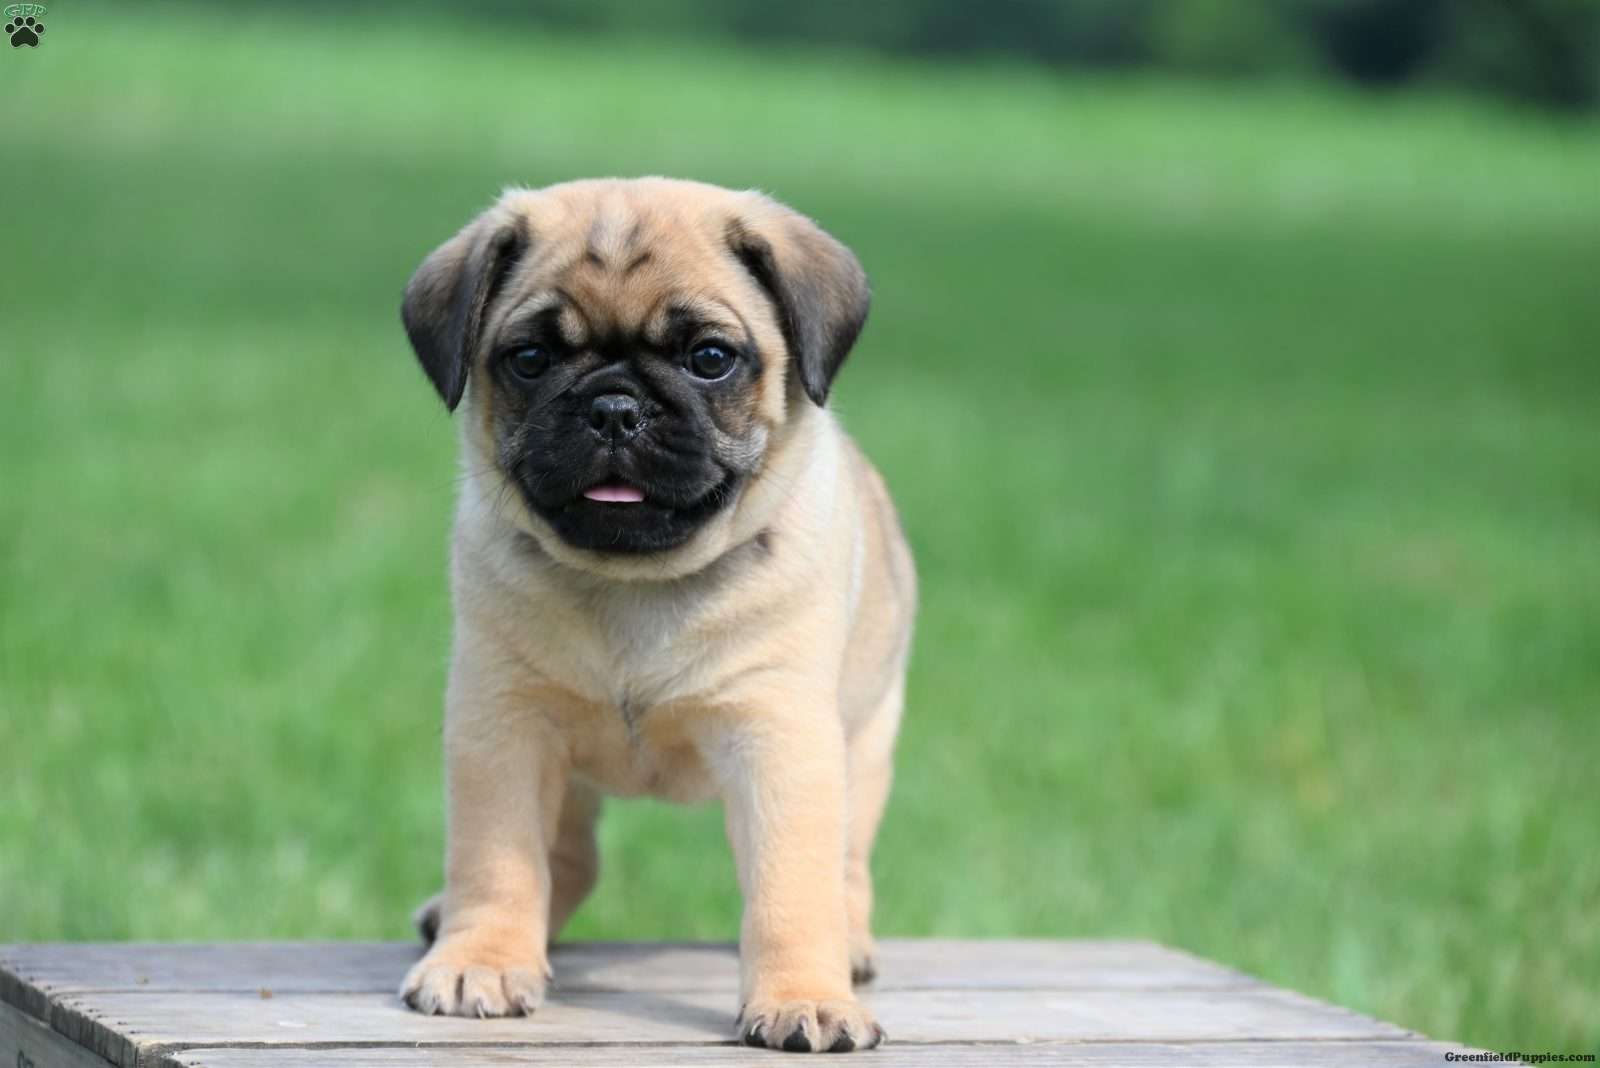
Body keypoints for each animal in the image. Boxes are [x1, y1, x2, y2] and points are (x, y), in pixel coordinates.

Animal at [396, 177, 915, 1048]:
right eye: (529, 360)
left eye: (710, 359)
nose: (613, 407)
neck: (634, 586)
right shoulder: (502, 726)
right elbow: (498, 861)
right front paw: (482, 959)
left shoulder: (780, 739)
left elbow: (790, 891)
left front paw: (805, 996)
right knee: (567, 861)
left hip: (867, 740)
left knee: (845, 868)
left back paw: (850, 945)